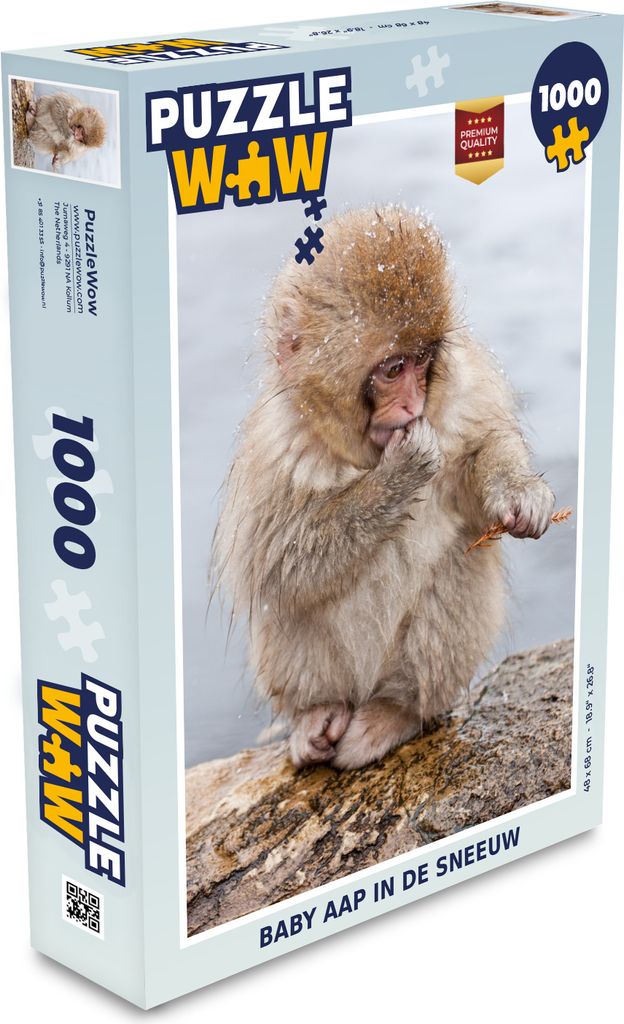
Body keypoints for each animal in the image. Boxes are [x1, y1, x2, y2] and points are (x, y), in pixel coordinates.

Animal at [213, 204, 555, 771]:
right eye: (393, 368)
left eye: (423, 361)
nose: (414, 404)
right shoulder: (275, 451)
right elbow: (277, 560)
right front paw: (403, 472)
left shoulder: (465, 395)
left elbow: (478, 464)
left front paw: (520, 493)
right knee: (289, 610)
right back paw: (316, 715)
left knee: (454, 567)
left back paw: (395, 713)